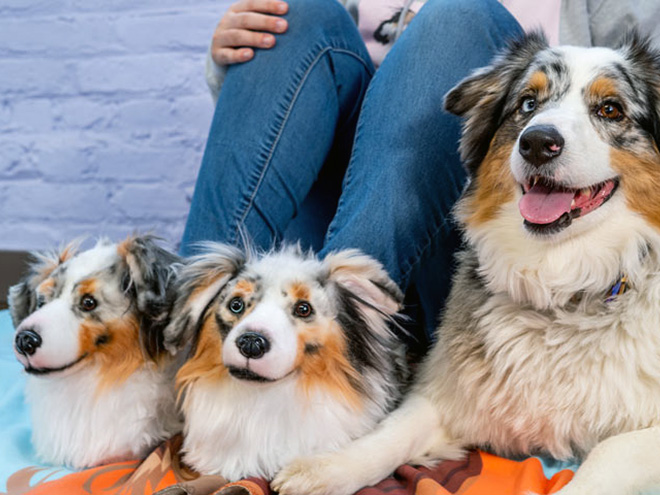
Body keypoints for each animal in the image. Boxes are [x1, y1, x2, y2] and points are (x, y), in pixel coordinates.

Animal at [274, 33, 660, 495]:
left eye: (610, 109)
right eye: (527, 103)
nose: (536, 142)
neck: (565, 283)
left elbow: (606, 453)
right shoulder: (459, 388)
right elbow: (393, 432)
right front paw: (326, 467)